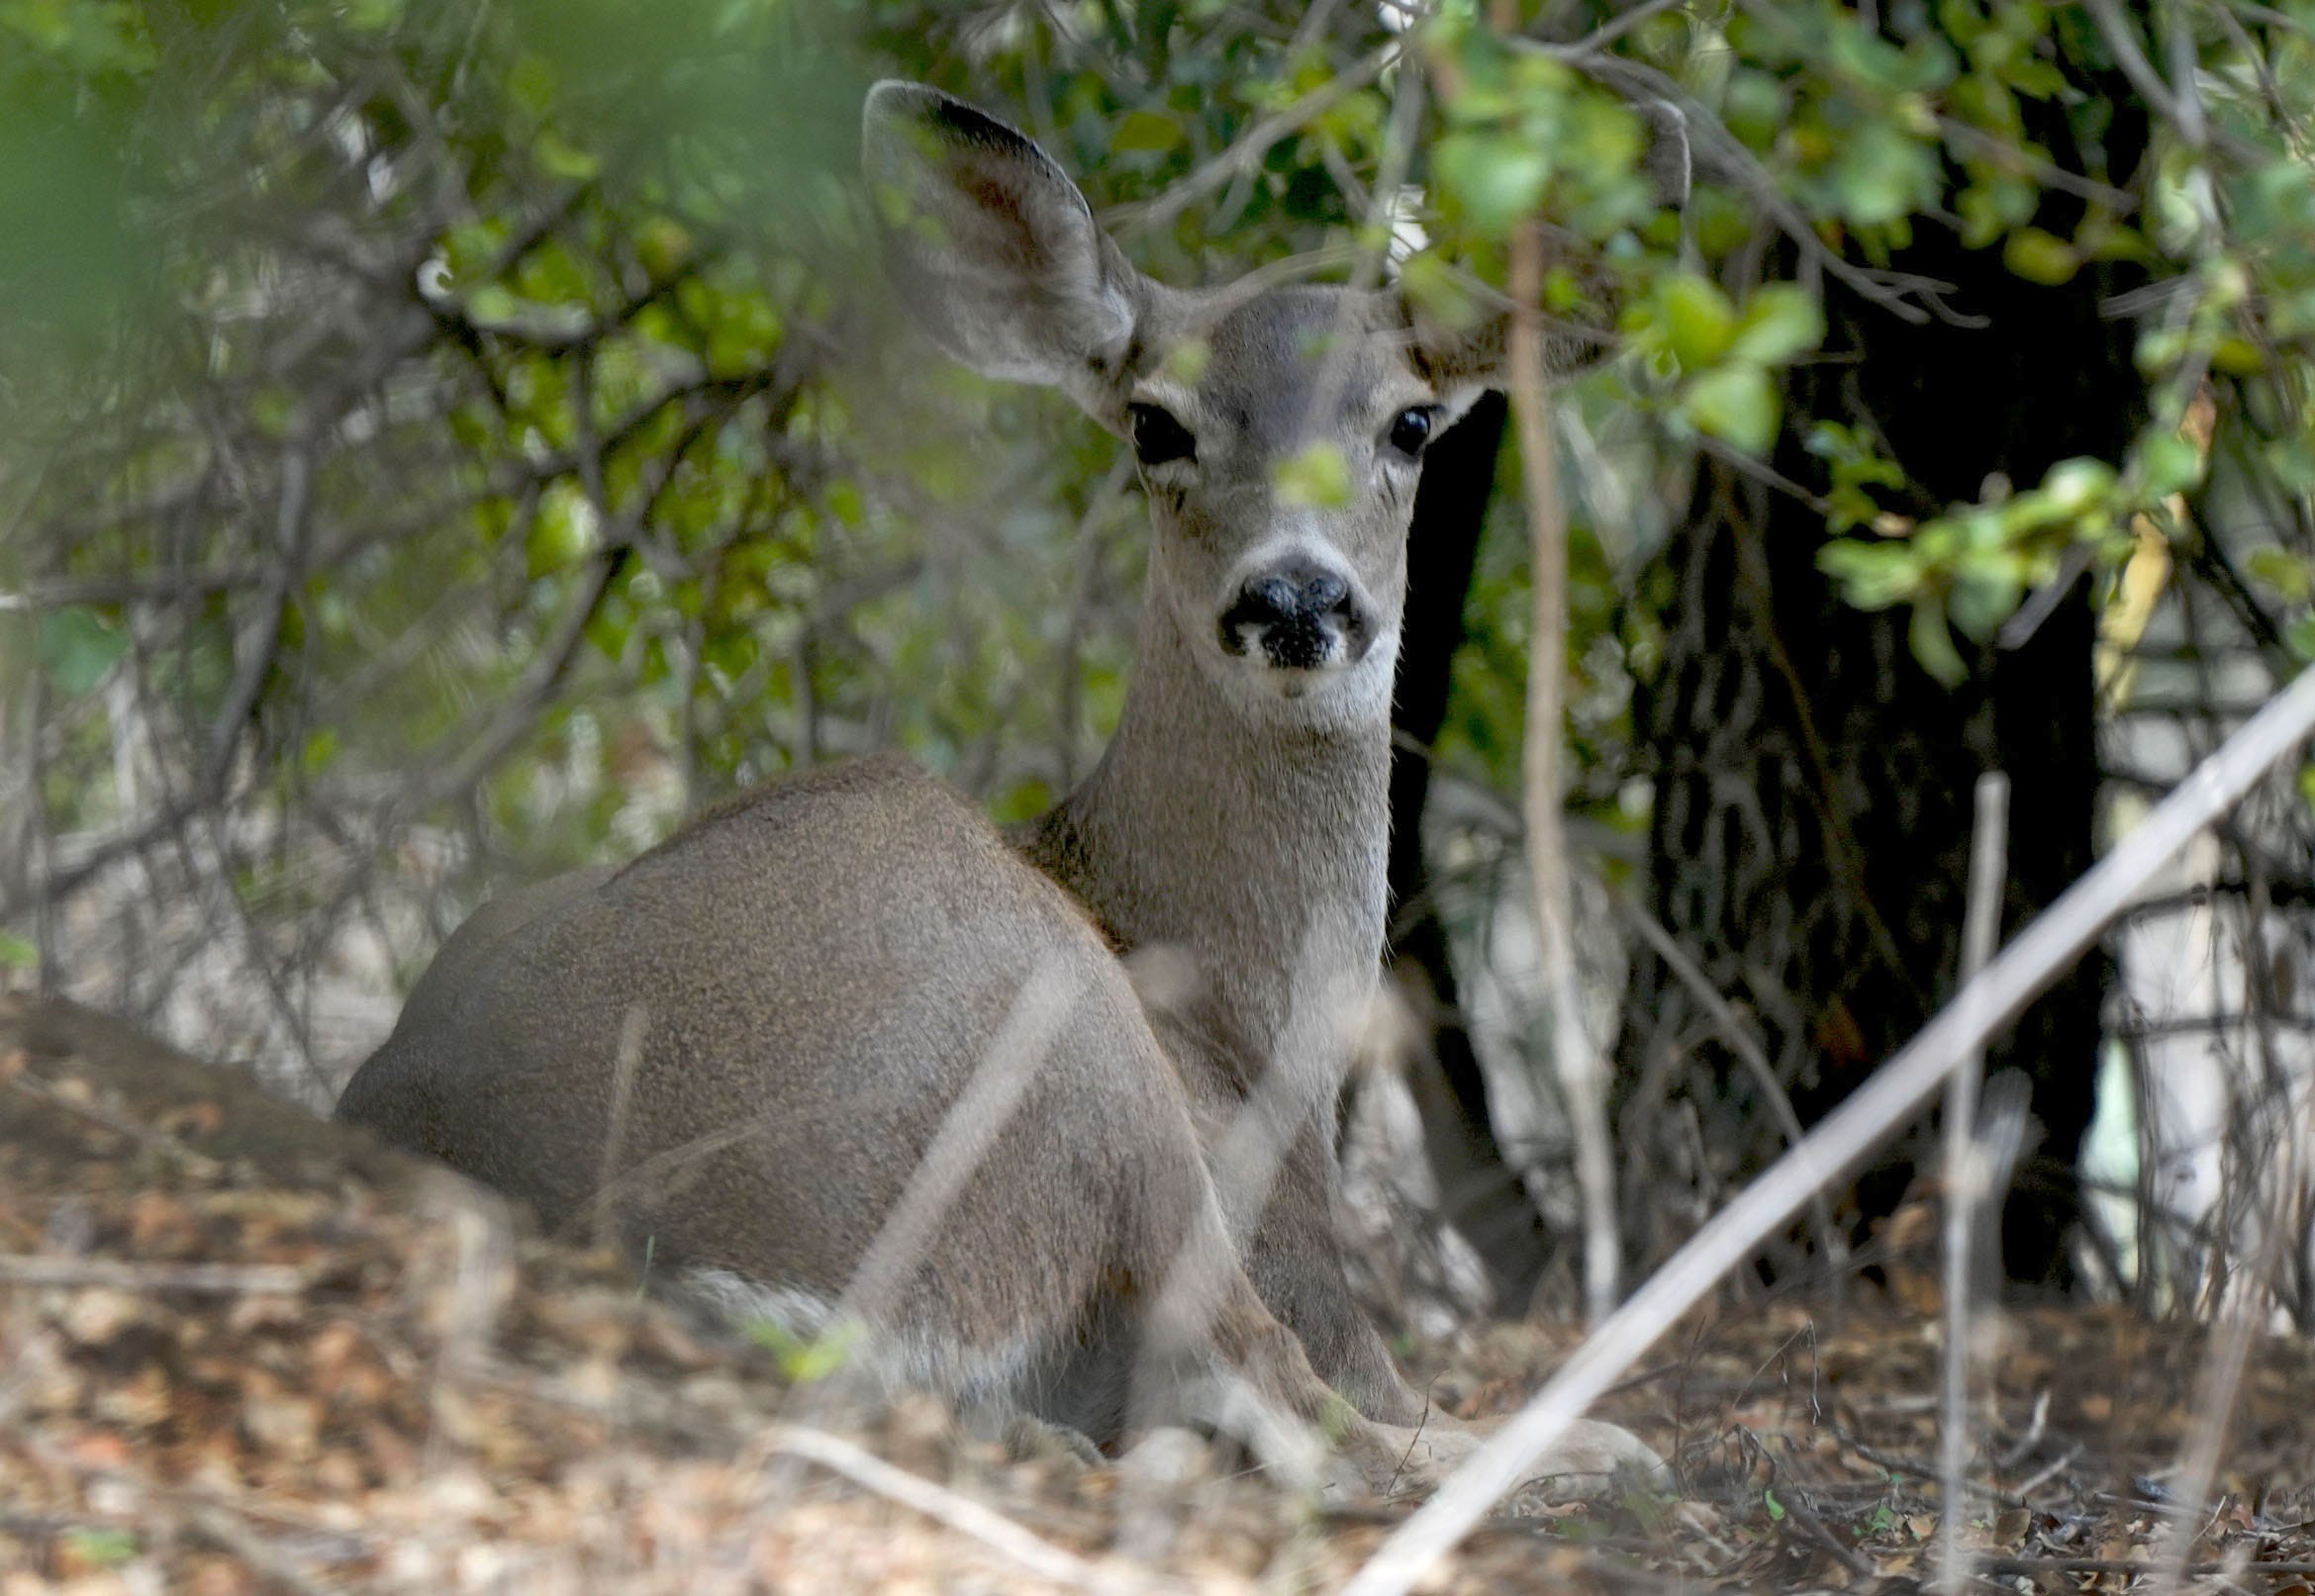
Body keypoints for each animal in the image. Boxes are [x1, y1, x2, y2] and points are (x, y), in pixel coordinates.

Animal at [335, 80, 1667, 1501]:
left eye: (1410, 422)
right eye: (1155, 422)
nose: (1294, 594)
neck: (1253, 1029)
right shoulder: (1290, 1240)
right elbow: (1364, 1390)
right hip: (1061, 1033)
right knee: (1309, 1416)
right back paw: (1593, 1443)